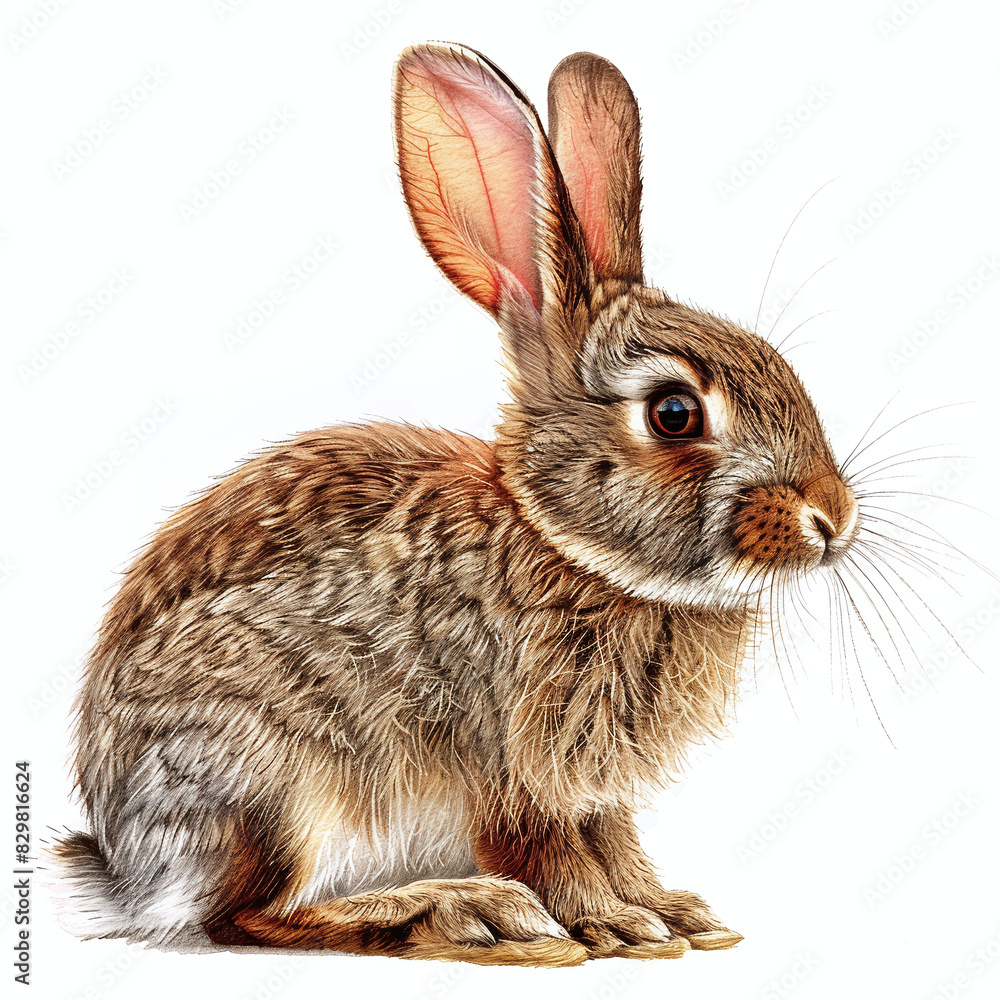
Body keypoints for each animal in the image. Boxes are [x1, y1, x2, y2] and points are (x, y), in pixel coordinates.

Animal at [50, 41, 859, 967]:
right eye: (674, 414)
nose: (832, 520)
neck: (566, 545)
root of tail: (124, 872)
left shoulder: (592, 789)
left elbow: (616, 840)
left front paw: (674, 914)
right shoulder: (508, 763)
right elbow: (545, 850)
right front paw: (612, 926)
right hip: (277, 783)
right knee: (248, 917)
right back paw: (459, 913)